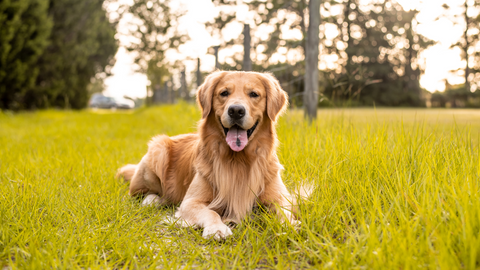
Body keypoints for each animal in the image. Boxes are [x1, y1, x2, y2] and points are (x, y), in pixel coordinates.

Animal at [117, 70, 296, 239]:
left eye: (254, 94)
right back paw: (152, 200)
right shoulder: (190, 202)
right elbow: (211, 212)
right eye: (224, 93)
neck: (238, 160)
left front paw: (290, 226)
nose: (236, 110)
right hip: (158, 149)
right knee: (140, 193)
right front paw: (217, 228)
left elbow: (285, 211)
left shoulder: (280, 197)